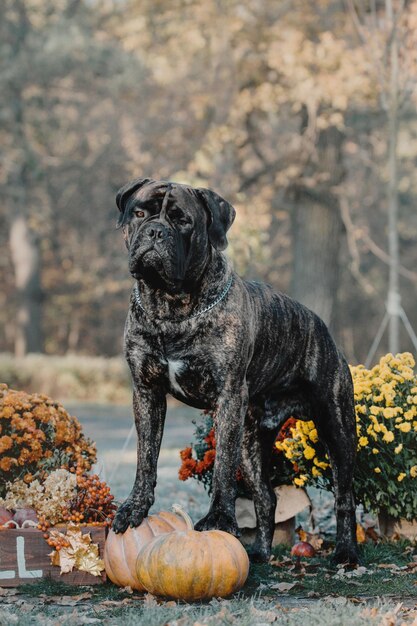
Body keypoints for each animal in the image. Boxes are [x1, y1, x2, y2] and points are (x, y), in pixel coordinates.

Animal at [111, 176, 358, 560]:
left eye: (182, 220)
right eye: (139, 213)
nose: (155, 231)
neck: (171, 307)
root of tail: (323, 327)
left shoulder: (227, 398)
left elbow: (222, 468)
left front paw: (218, 521)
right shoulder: (147, 393)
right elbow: (145, 458)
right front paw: (134, 508)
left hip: (336, 426)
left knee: (345, 494)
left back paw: (346, 552)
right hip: (252, 441)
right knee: (266, 497)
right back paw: (260, 553)